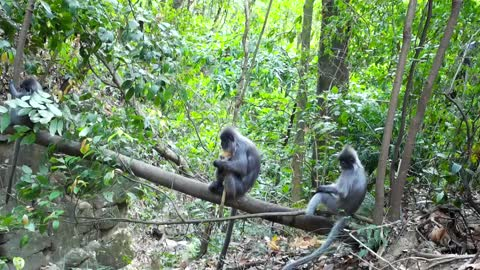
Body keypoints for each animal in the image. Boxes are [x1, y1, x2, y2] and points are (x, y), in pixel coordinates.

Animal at [208, 127, 260, 270]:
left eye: (224, 141)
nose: (222, 145)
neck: (237, 140)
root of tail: (244, 191)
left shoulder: (239, 147)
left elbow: (241, 166)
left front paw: (218, 161)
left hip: (238, 187)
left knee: (230, 172)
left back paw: (226, 191)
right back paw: (217, 185)